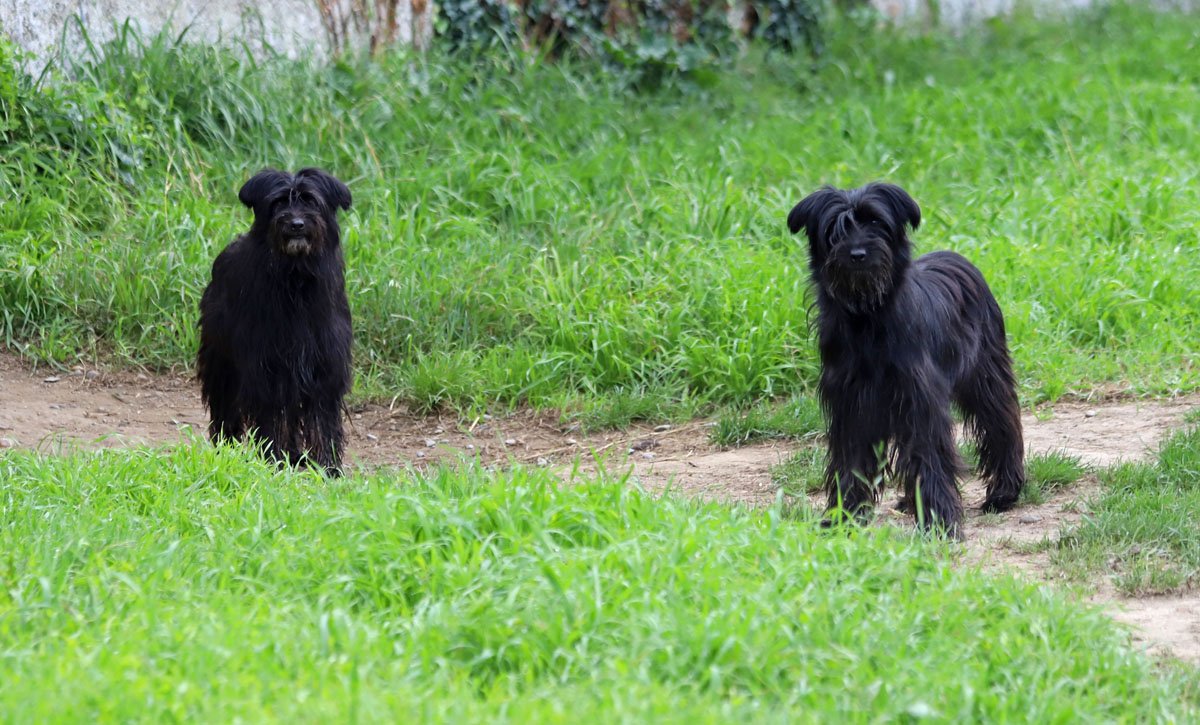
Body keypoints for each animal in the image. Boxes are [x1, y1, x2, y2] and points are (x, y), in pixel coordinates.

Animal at [197, 167, 353, 476]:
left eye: (310, 201)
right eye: (279, 203)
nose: (296, 224)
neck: (296, 277)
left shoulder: (324, 364)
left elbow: (324, 418)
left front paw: (328, 466)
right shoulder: (267, 366)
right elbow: (271, 416)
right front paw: (273, 459)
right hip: (222, 362)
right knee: (225, 405)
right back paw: (226, 447)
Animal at [787, 182, 1024, 537]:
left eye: (876, 222)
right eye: (835, 229)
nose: (857, 254)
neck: (868, 318)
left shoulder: (919, 400)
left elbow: (929, 457)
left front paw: (940, 521)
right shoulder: (851, 405)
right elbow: (850, 462)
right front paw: (844, 517)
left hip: (986, 378)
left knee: (1001, 425)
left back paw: (1004, 492)